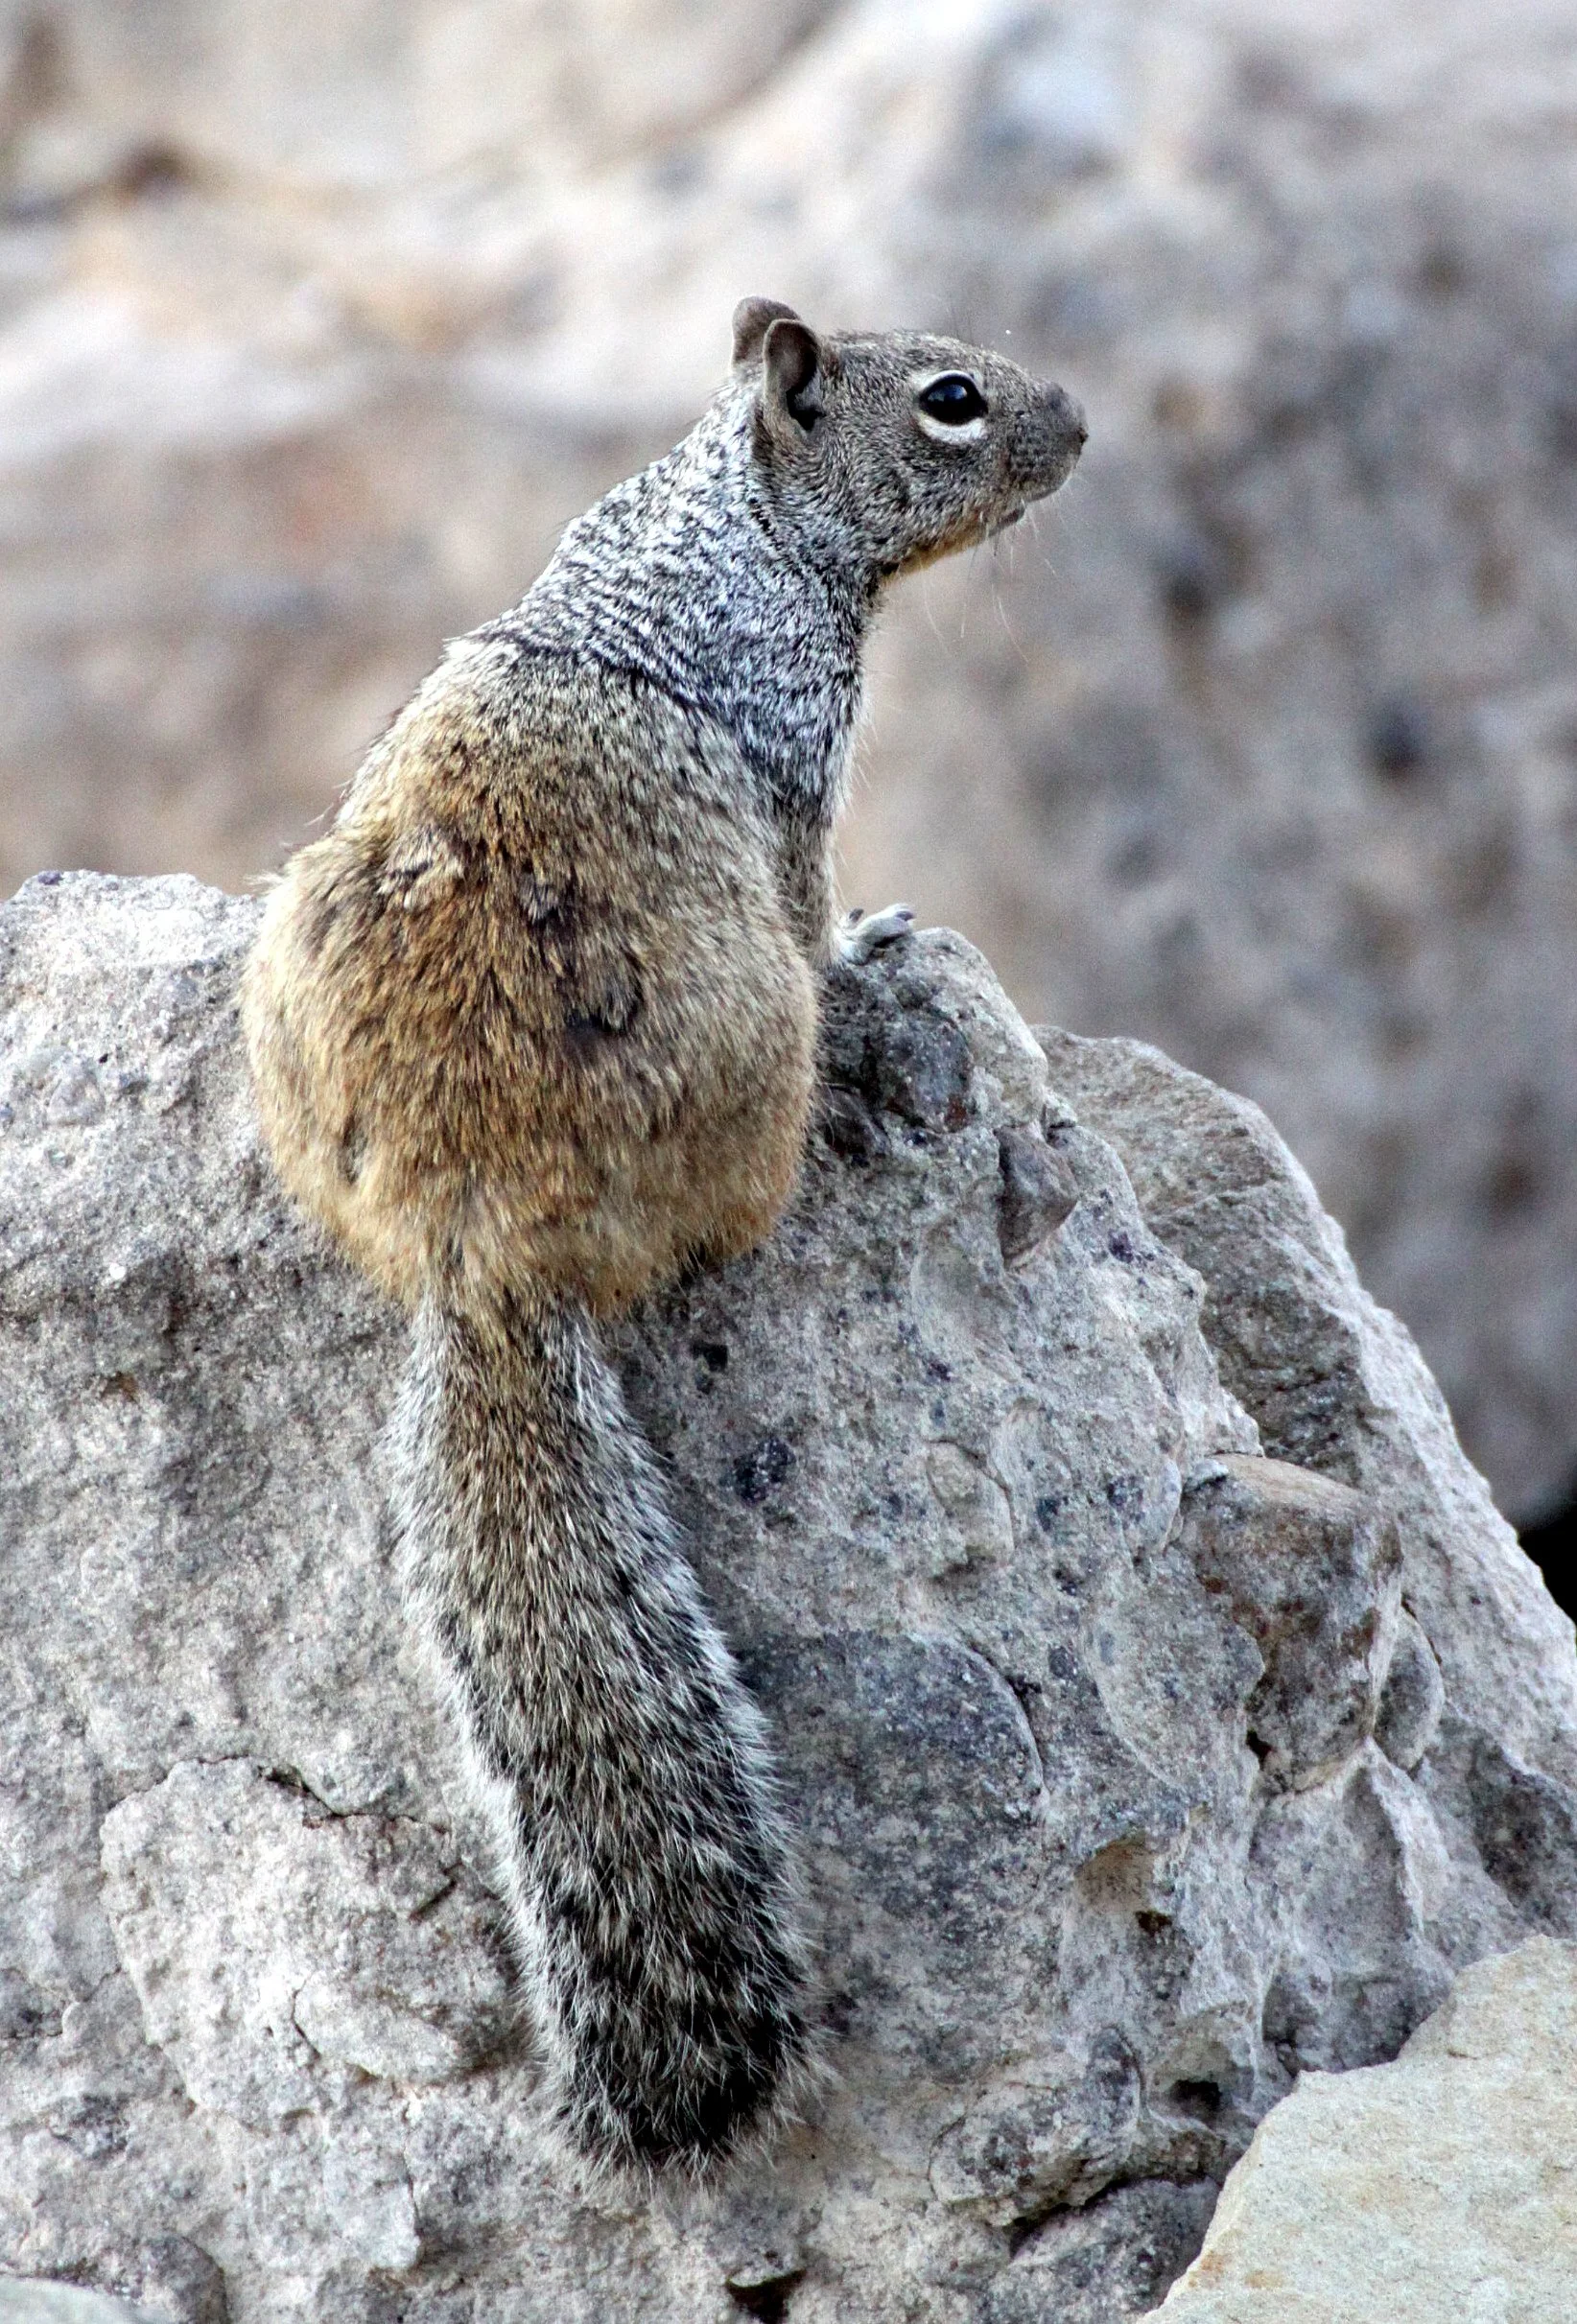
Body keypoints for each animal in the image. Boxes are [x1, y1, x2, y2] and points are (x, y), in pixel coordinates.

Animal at [241, 297, 1085, 2174]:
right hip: (749, 1061)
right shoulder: (798, 771)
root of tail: (476, 1245)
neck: (730, 530)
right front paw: (885, 935)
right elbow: (823, 894)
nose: (1078, 427)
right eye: (950, 398)